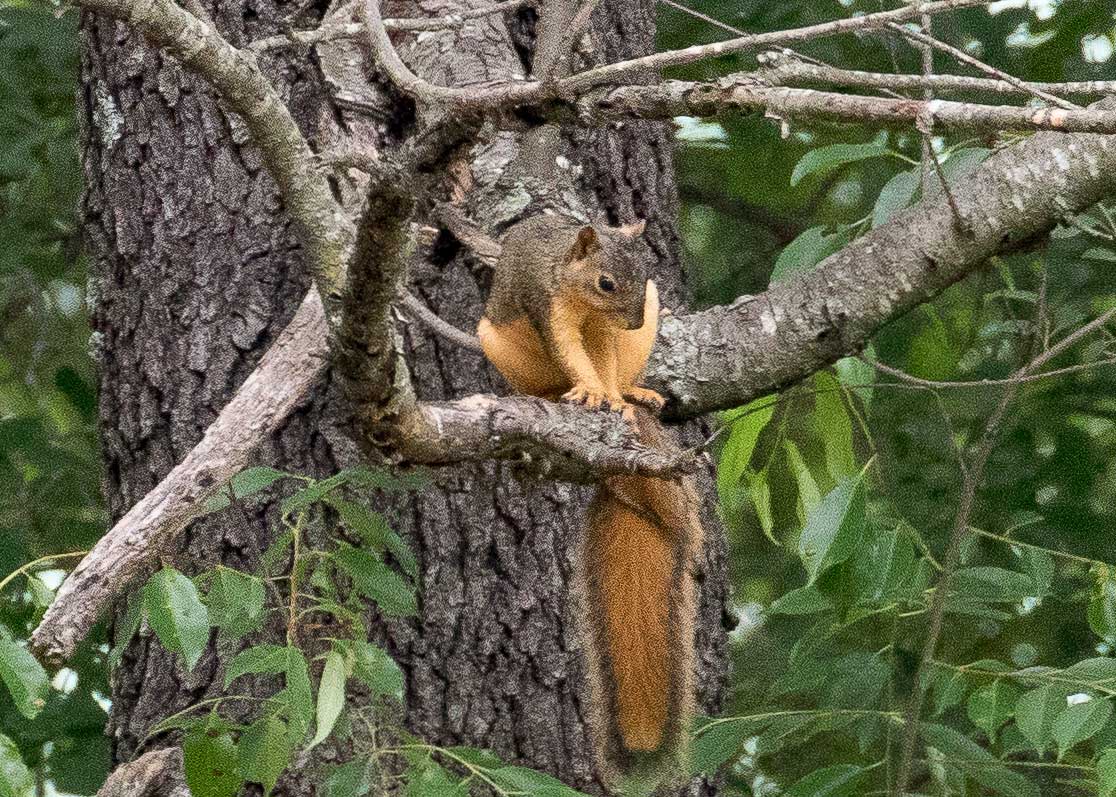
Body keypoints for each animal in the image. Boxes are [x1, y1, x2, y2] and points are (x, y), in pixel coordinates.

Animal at [475, 210, 700, 781]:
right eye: (605, 282)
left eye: (644, 273)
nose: (633, 322)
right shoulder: (547, 306)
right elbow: (573, 355)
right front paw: (590, 391)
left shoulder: (610, 332)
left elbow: (605, 360)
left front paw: (614, 396)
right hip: (497, 340)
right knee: (545, 381)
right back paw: (555, 395)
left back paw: (634, 397)